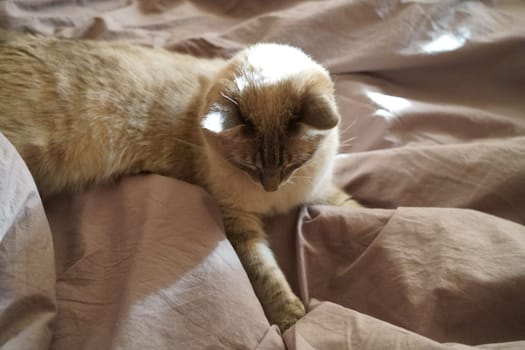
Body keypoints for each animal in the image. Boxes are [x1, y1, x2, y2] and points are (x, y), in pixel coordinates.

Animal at [0, 30, 360, 330]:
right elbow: (266, 273)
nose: (270, 186)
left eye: (293, 164)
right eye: (250, 167)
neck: (277, 200)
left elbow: (352, 207)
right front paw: (291, 318)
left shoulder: (317, 190)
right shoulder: (238, 220)